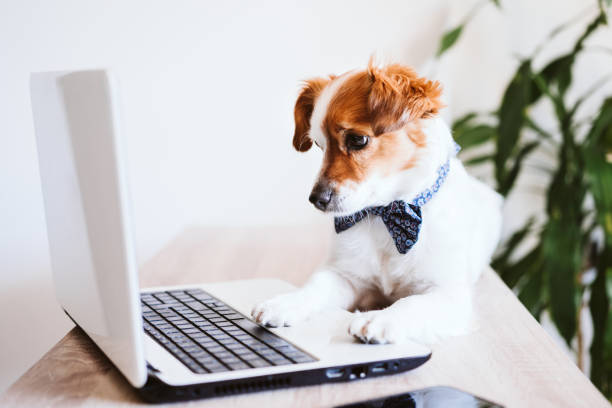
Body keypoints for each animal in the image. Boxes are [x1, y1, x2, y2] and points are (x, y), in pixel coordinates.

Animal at [250, 61, 502, 344]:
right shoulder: (345, 276)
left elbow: (411, 303)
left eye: (357, 140)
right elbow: (314, 288)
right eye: (318, 144)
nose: (316, 199)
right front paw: (286, 302)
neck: (386, 215)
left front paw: (381, 319)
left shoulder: (449, 295)